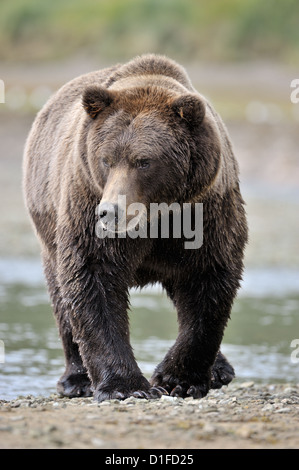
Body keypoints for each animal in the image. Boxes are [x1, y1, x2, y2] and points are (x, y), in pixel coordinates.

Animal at [23, 54, 248, 400]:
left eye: (144, 161)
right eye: (106, 159)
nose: (110, 212)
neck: (156, 216)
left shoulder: (206, 211)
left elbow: (208, 281)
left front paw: (178, 379)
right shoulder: (86, 200)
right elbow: (94, 278)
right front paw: (125, 386)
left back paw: (220, 369)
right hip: (49, 225)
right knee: (61, 297)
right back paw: (77, 379)